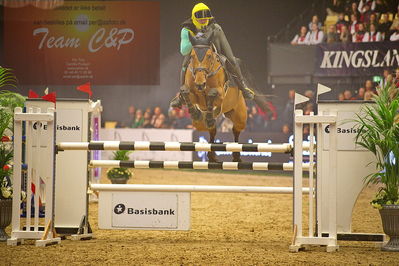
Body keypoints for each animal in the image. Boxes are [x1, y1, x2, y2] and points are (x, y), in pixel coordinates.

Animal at [180, 33, 248, 162]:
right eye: (192, 56)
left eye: (209, 56)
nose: (200, 84)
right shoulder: (194, 96)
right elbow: (185, 92)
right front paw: (196, 114)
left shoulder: (221, 96)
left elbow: (212, 93)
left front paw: (208, 116)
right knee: (212, 131)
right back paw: (211, 156)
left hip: (240, 116)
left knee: (236, 130)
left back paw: (236, 156)